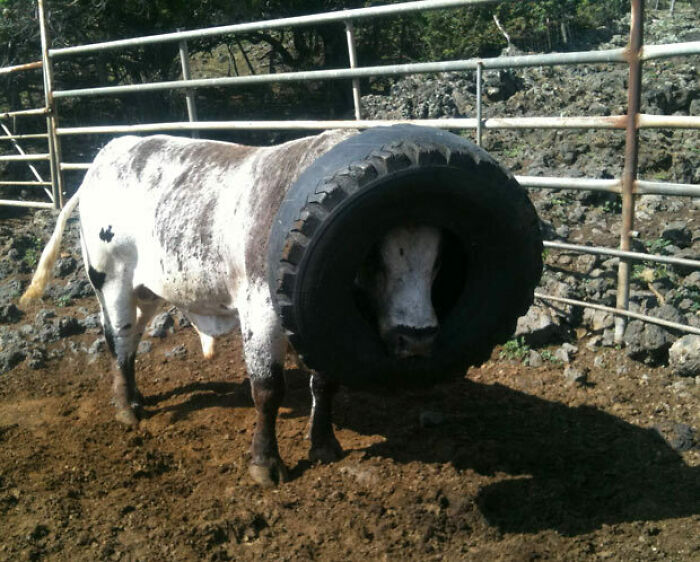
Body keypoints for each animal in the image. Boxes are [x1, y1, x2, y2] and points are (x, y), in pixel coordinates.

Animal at [20, 131, 442, 487]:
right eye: (374, 259)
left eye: (438, 259)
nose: (418, 337)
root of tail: (110, 152)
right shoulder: (261, 312)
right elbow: (268, 390)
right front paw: (265, 463)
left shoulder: (321, 324)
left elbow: (325, 382)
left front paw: (324, 443)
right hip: (111, 282)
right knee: (119, 340)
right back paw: (127, 408)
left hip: (147, 290)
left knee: (133, 338)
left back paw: (136, 396)